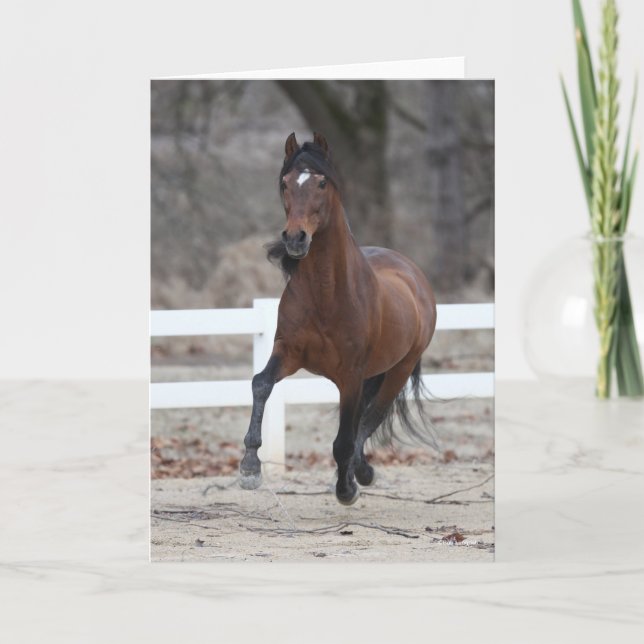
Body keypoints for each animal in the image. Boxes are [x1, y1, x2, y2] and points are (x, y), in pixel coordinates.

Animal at [239, 132, 437, 505]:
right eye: (285, 183)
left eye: (321, 182)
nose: (295, 238)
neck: (327, 295)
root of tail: (413, 274)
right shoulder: (288, 353)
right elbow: (261, 384)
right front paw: (249, 467)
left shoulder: (351, 374)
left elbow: (345, 437)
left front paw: (346, 489)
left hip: (398, 370)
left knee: (371, 417)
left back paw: (360, 474)